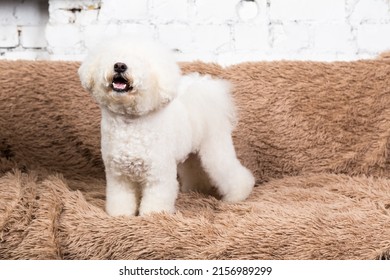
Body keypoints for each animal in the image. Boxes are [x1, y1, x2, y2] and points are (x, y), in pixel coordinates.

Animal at [78, 37, 256, 217]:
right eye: (113, 55)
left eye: (141, 60)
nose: (120, 65)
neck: (130, 123)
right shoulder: (118, 175)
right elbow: (121, 198)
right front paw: (121, 215)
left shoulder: (158, 173)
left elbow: (156, 199)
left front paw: (154, 216)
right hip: (192, 154)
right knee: (194, 170)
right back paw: (195, 189)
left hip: (215, 149)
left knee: (231, 172)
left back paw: (237, 195)